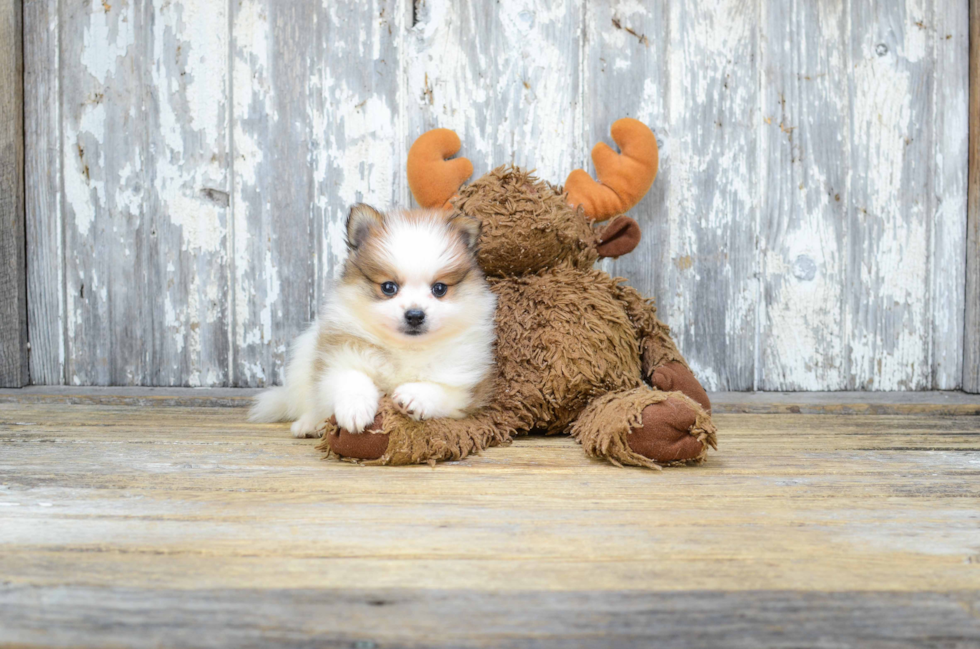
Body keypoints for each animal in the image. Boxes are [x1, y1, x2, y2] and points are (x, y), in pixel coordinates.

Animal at [249, 204, 494, 436]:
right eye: (388, 287)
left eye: (440, 289)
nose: (415, 315)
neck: (406, 349)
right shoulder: (339, 354)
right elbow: (352, 377)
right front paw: (355, 409)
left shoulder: (466, 384)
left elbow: (442, 390)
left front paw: (414, 396)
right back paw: (310, 424)